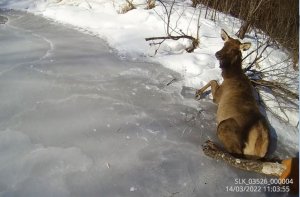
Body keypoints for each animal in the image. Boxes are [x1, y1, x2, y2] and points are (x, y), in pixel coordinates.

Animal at [195, 29, 270, 159]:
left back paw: (212, 147)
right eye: (224, 44)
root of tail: (259, 148)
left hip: (226, 125)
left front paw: (198, 93)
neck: (231, 75)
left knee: (235, 153)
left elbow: (213, 80)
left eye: (233, 50)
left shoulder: (219, 96)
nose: (217, 54)